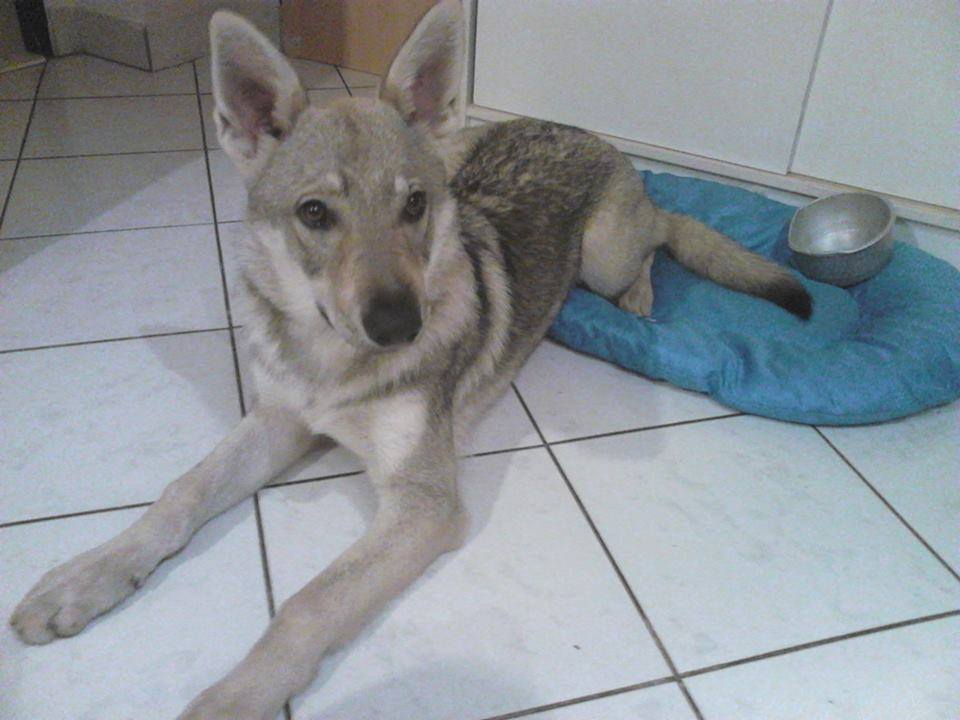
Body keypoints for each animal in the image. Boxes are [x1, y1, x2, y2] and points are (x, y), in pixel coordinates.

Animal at [9, 2, 811, 717]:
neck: (331, 364)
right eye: (314, 214)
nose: (399, 324)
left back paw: (640, 304)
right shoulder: (277, 421)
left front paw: (232, 699)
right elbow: (180, 493)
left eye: (415, 206)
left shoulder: (424, 504)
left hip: (602, 253)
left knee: (666, 232)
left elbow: (307, 604)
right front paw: (84, 578)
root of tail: (572, 127)